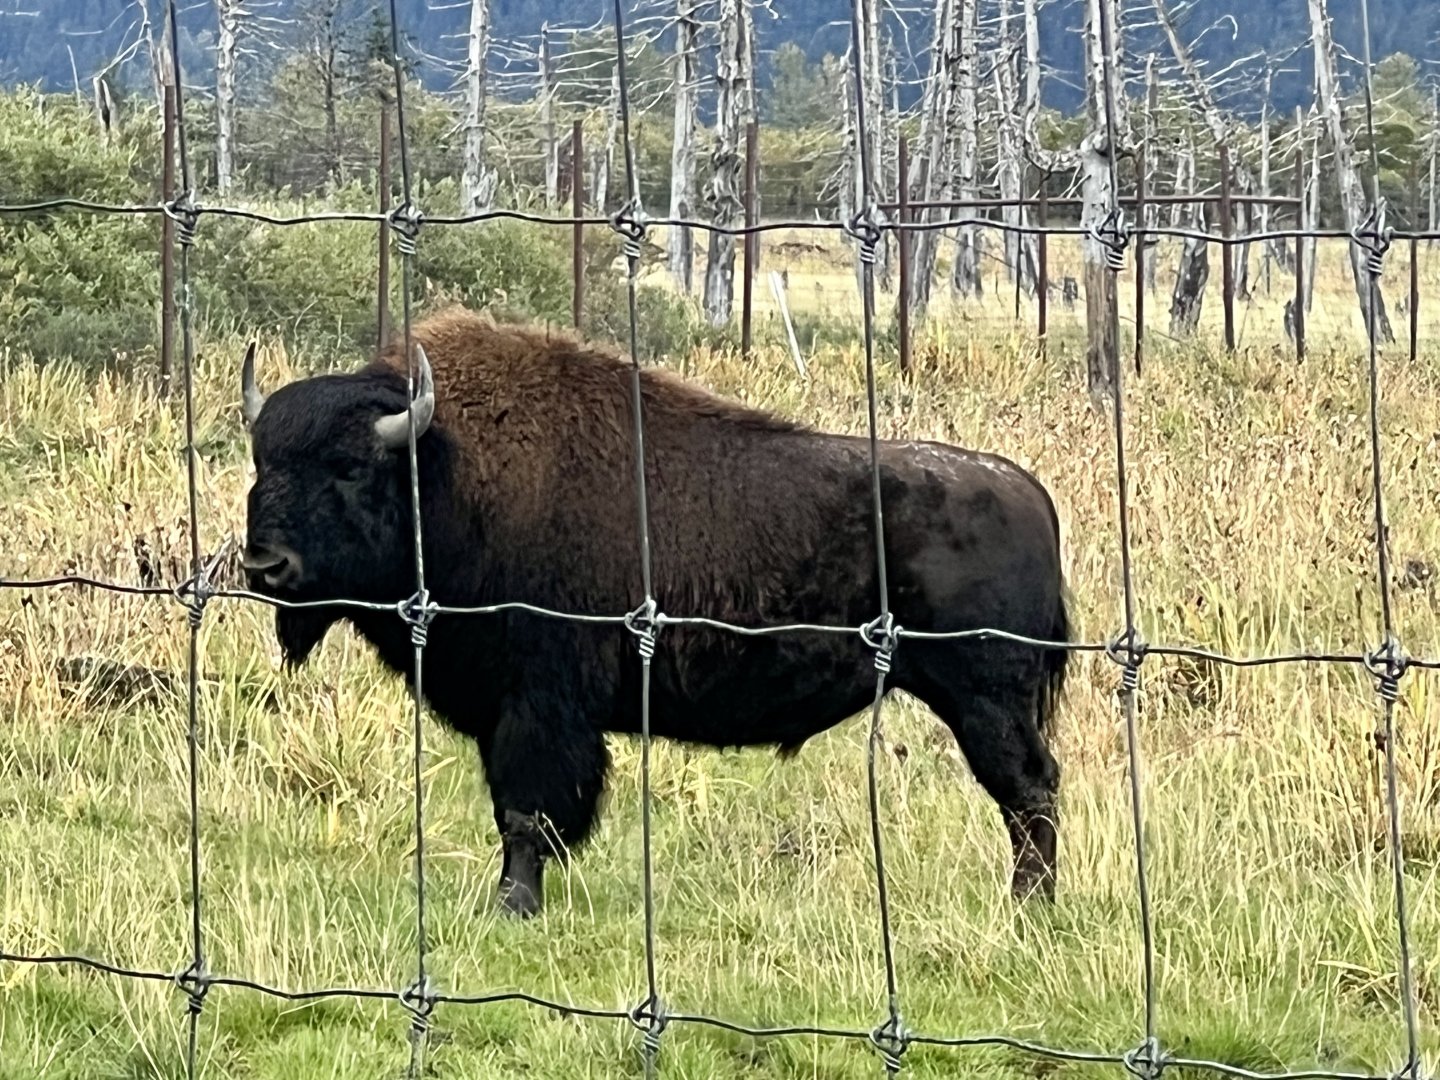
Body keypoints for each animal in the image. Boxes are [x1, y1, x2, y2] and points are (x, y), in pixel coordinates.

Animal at [238, 307, 1071, 917]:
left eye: (348, 467)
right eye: (262, 462)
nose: (265, 566)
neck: (445, 472)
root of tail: (1031, 494)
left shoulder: (539, 707)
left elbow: (528, 810)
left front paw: (513, 904)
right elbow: (516, 807)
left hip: (986, 701)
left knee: (1030, 790)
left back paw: (1028, 908)